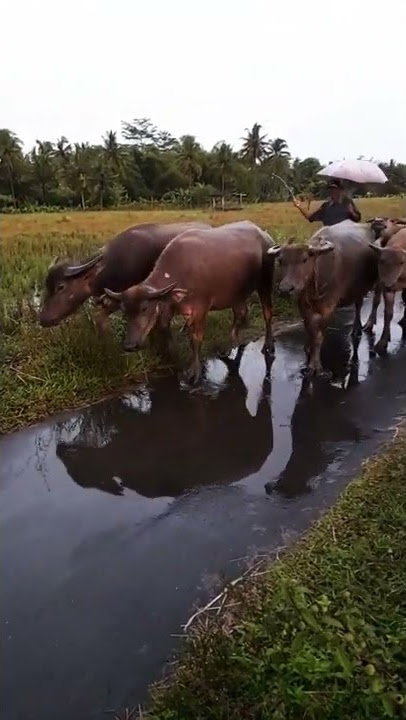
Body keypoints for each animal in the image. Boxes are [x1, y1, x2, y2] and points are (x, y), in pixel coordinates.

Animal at [104, 219, 276, 382]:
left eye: (145, 308)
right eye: (124, 311)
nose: (130, 345)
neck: (181, 272)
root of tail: (264, 235)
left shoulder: (201, 308)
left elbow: (195, 339)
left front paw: (195, 373)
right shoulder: (169, 305)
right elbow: (164, 327)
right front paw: (173, 354)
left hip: (264, 282)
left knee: (267, 312)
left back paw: (269, 346)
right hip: (236, 293)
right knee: (241, 313)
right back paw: (230, 346)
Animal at [270, 218, 378, 376]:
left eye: (305, 259)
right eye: (281, 261)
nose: (285, 288)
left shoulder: (329, 306)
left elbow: (319, 335)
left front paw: (314, 365)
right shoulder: (302, 304)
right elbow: (309, 328)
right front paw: (307, 347)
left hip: (363, 288)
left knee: (359, 306)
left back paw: (356, 329)